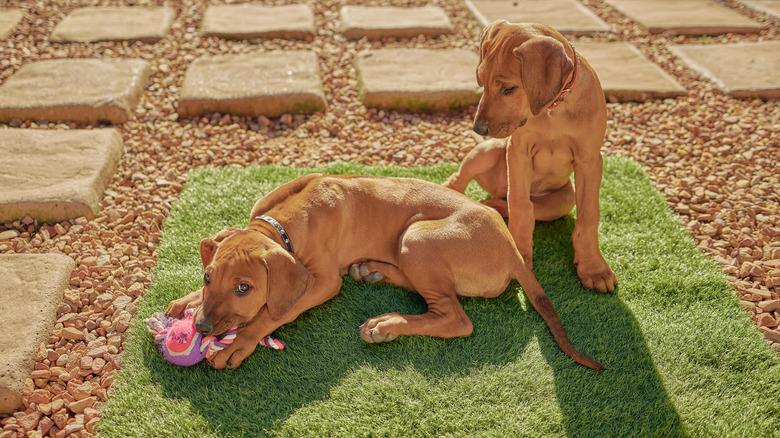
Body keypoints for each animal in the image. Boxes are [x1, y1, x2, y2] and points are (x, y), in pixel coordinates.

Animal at [165, 175, 604, 370]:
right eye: (208, 278)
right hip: (411, 247)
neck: (280, 225)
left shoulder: (323, 282)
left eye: (244, 288)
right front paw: (186, 301)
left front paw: (238, 345)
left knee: (454, 319)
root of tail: (514, 250)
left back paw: (386, 324)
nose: (201, 329)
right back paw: (372, 270)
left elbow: (271, 313)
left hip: (417, 237)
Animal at [444, 21, 616, 294]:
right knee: (460, 179)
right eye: (480, 80)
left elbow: (588, 215)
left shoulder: (589, 160)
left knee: (516, 205)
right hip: (489, 150)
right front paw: (520, 255)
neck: (553, 110)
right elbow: (520, 206)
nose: (478, 129)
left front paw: (593, 268)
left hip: (564, 199)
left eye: (508, 88)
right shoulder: (518, 152)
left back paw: (493, 206)